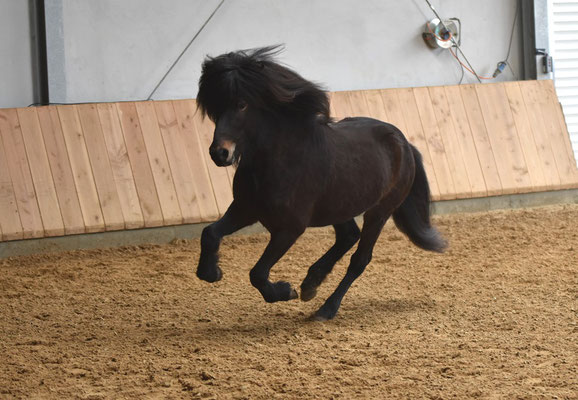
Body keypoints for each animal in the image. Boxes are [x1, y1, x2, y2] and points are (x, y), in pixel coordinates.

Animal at [195, 46, 446, 322]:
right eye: (214, 108)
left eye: (241, 104)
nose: (220, 153)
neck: (276, 162)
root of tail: (404, 143)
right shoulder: (245, 210)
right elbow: (210, 233)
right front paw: (211, 272)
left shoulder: (289, 228)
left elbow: (258, 273)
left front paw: (285, 291)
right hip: (339, 205)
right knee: (348, 236)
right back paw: (310, 284)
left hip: (379, 212)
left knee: (360, 259)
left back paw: (326, 308)